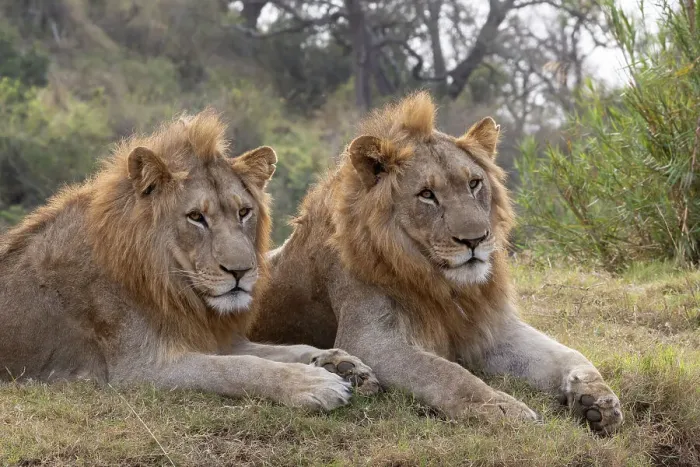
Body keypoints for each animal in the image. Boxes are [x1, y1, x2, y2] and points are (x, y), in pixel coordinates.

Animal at [0, 110, 378, 410]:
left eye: (244, 212)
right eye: (196, 217)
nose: (241, 271)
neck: (175, 287)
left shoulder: (214, 337)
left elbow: (283, 349)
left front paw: (341, 363)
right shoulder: (141, 369)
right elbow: (239, 368)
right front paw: (314, 383)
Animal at [249, 92, 623, 433]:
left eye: (474, 183)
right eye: (427, 195)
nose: (475, 239)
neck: (442, 282)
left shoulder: (488, 327)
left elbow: (569, 354)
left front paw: (596, 398)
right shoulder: (370, 340)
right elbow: (447, 374)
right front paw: (505, 409)